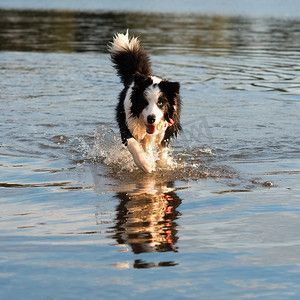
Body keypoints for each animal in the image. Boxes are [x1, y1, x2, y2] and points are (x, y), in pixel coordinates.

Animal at [109, 31, 182, 172]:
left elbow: (162, 148)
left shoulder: (166, 128)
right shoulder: (127, 123)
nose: (151, 118)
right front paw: (146, 164)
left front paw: (160, 164)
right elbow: (133, 144)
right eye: (144, 102)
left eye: (161, 103)